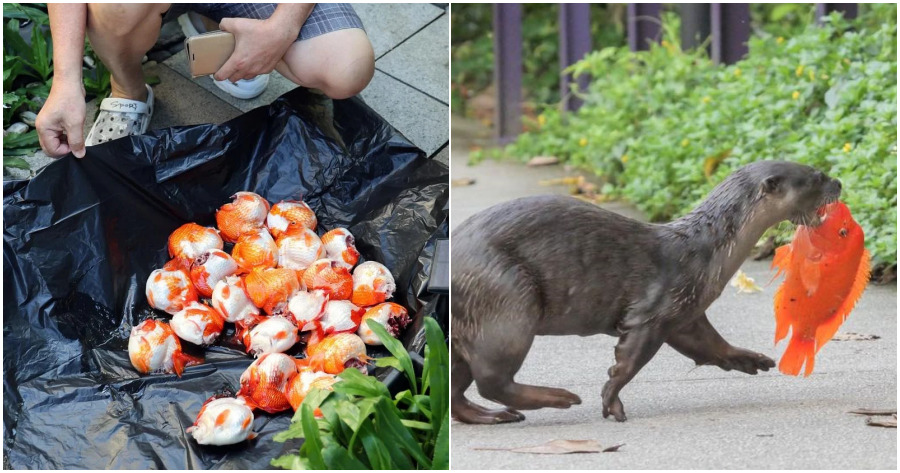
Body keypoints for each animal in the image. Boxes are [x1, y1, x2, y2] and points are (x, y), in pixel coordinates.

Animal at [451, 161, 842, 424]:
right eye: (816, 177)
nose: (838, 182)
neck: (704, 251)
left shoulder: (685, 314)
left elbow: (710, 345)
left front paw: (750, 359)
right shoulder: (653, 312)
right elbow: (628, 364)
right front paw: (611, 402)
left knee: (458, 390)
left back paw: (491, 416)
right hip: (508, 302)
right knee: (492, 378)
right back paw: (559, 398)